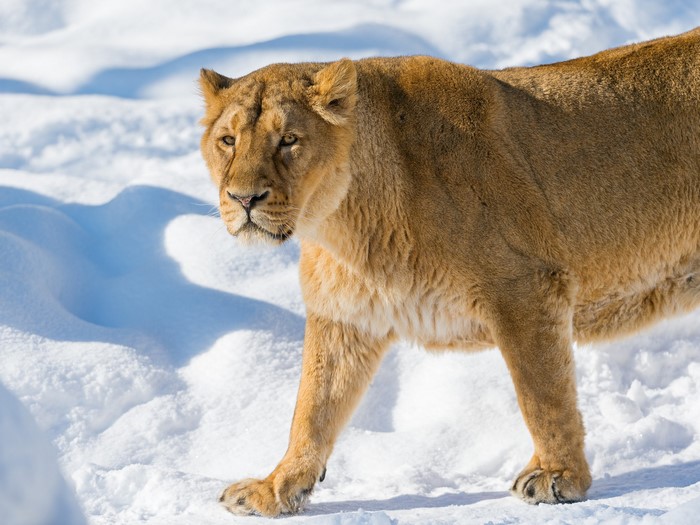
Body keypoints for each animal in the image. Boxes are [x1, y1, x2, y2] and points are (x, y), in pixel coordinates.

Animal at [199, 27, 700, 516]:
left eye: (288, 140)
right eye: (228, 141)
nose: (244, 199)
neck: (340, 224)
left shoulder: (526, 286)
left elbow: (542, 395)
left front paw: (560, 478)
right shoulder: (346, 315)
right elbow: (313, 407)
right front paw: (277, 488)